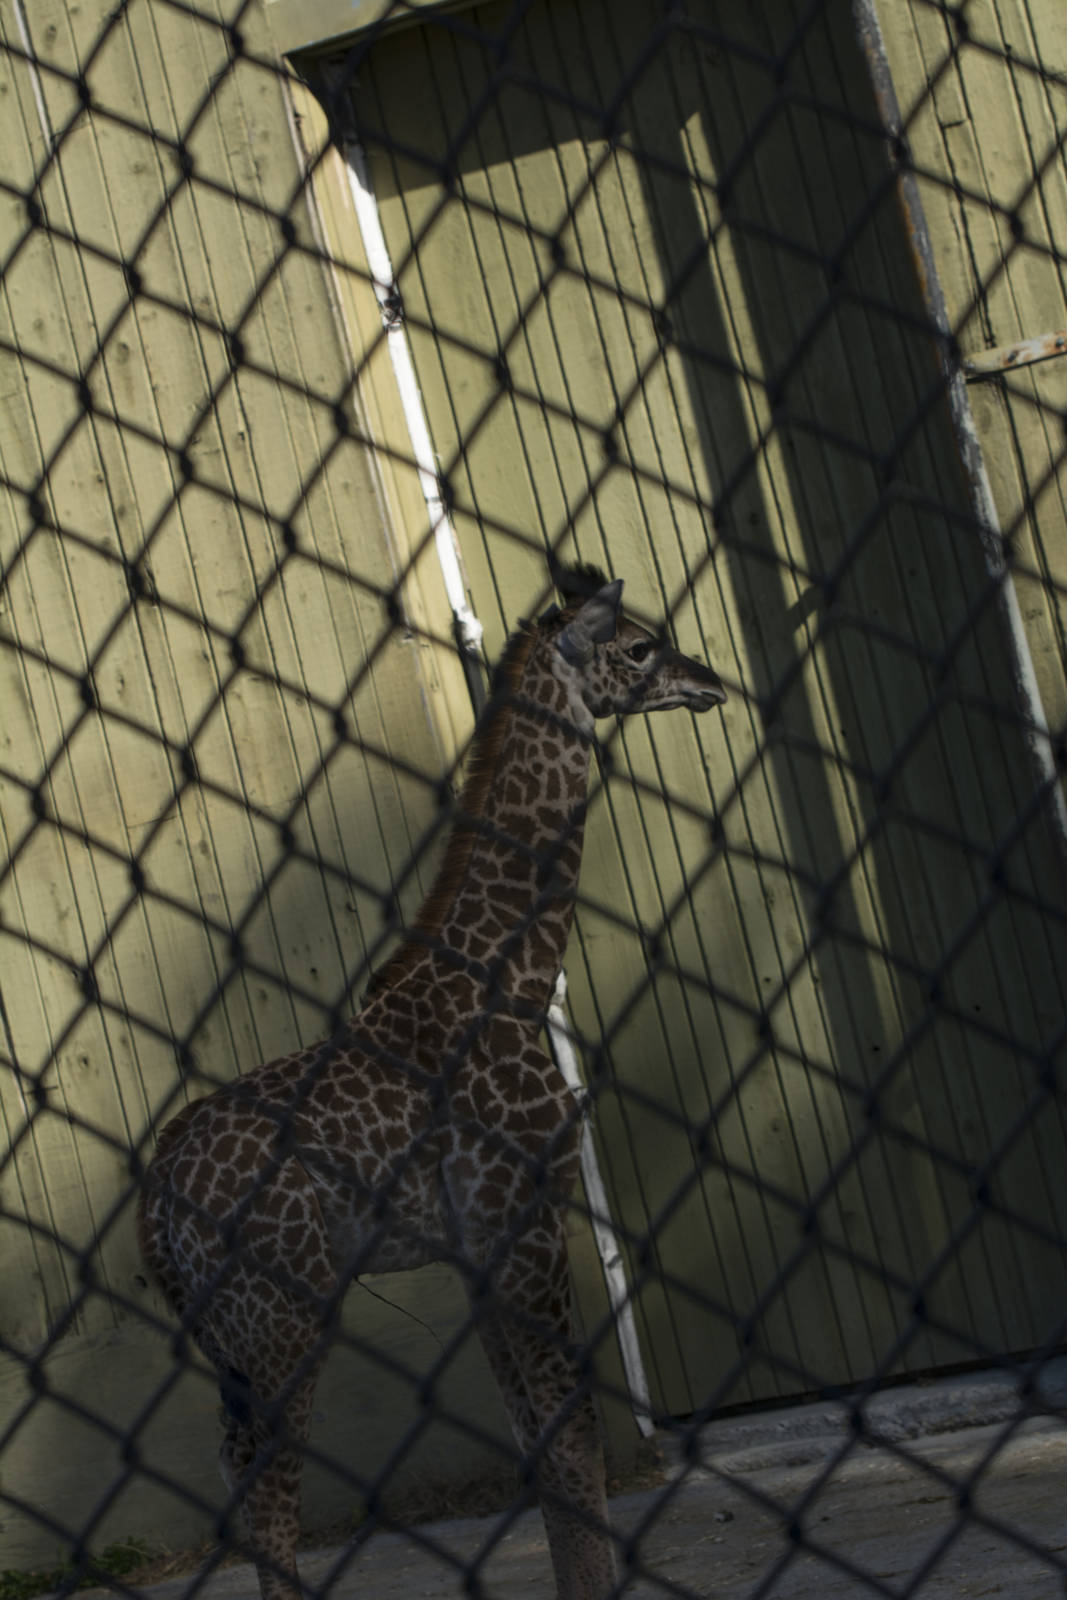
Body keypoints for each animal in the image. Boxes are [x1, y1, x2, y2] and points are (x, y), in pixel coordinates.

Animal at [138, 566, 726, 1600]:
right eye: (638, 645)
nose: (709, 683)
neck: (511, 978)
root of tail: (158, 1202)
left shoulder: (473, 1247)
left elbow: (536, 1436)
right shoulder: (523, 1217)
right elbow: (571, 1431)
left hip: (227, 1336)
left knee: (233, 1467)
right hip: (282, 1315)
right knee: (269, 1481)